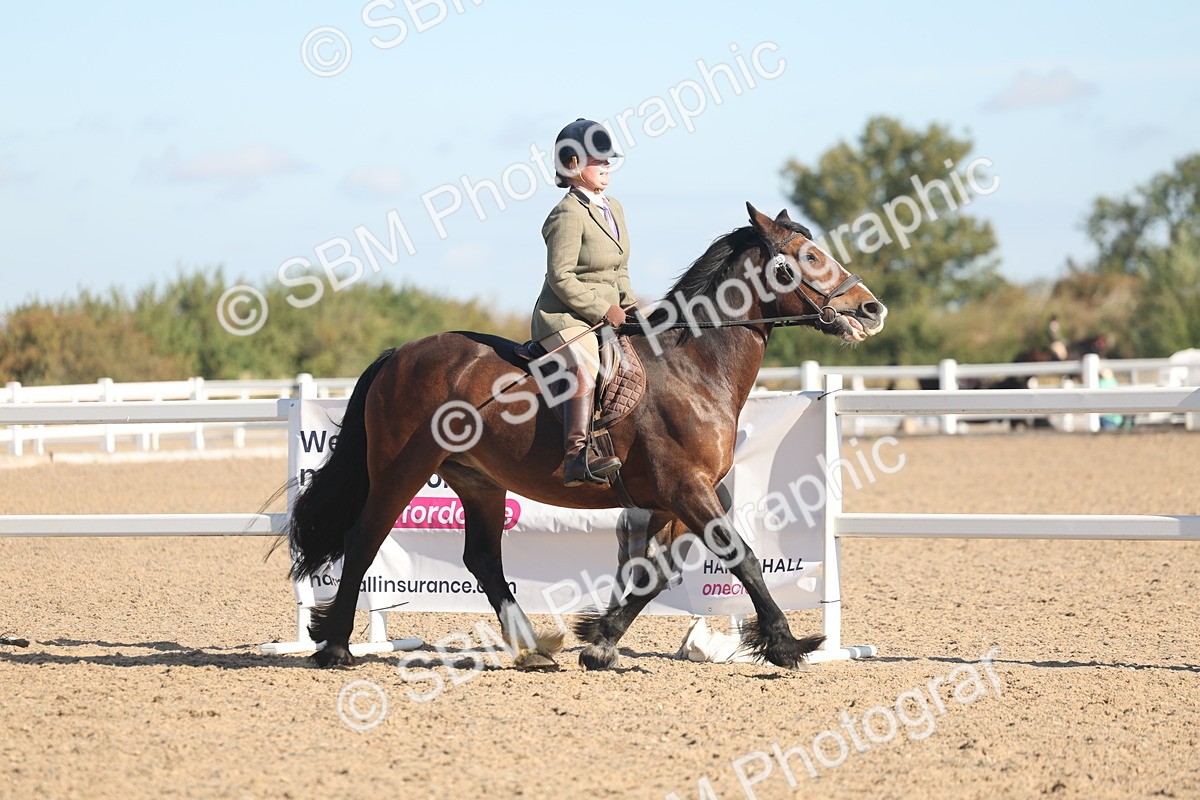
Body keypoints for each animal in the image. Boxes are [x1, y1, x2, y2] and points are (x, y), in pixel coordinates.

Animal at [285, 203, 887, 671]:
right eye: (809, 257)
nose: (871, 308)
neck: (692, 367)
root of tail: (398, 355)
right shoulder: (687, 489)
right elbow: (742, 559)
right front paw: (787, 645)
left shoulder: (669, 500)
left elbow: (653, 575)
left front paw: (599, 641)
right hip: (401, 469)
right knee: (364, 538)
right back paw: (335, 648)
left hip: (479, 481)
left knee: (482, 558)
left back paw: (532, 647)